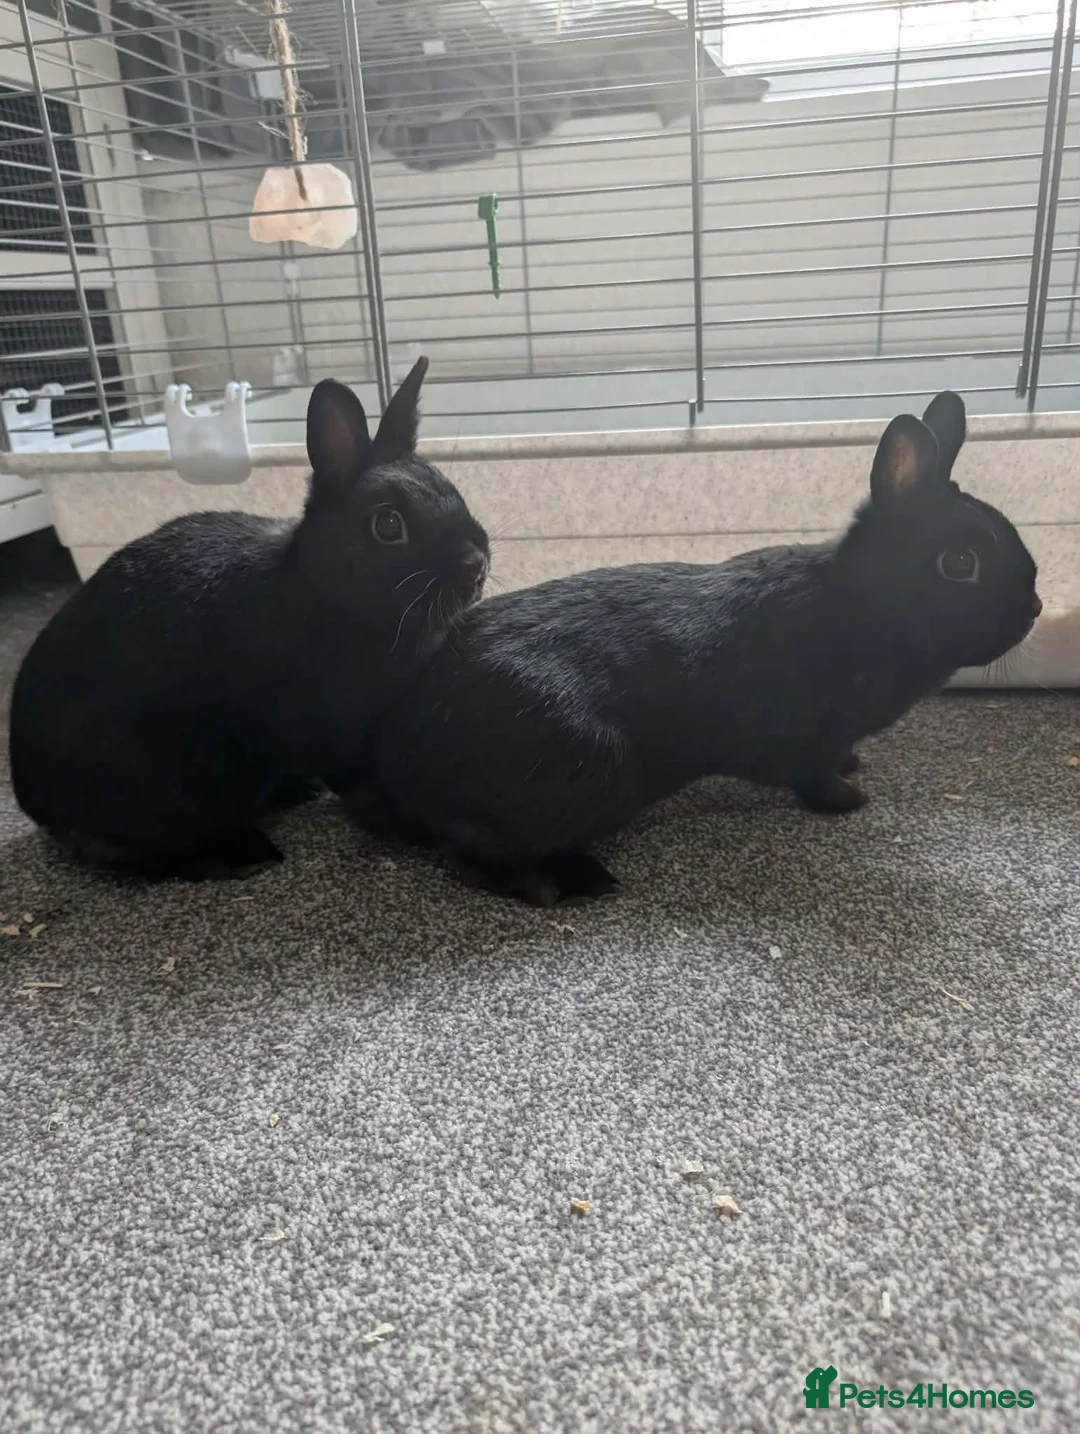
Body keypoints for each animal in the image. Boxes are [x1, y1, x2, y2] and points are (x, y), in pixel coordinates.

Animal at [9, 358, 490, 878]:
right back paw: (245, 853)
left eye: (451, 488)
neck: (322, 594)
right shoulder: (332, 731)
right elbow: (354, 777)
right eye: (388, 525)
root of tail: (33, 798)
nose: (476, 563)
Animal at [351, 392, 1041, 905]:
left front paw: (855, 769)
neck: (861, 606)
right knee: (471, 856)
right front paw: (848, 800)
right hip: (596, 773)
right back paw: (566, 884)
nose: (1034, 609)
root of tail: (400, 758)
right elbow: (813, 773)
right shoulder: (807, 735)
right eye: (960, 564)